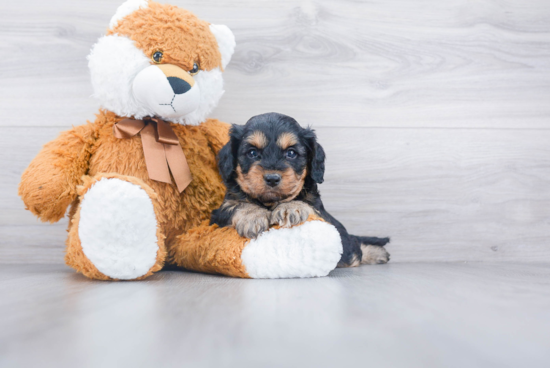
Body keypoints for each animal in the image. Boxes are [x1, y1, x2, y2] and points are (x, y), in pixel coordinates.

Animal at [211, 112, 392, 268]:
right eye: (252, 153)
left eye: (291, 153)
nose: (272, 178)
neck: (270, 202)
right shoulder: (217, 215)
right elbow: (236, 204)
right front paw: (253, 216)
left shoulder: (321, 212)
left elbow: (306, 204)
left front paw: (291, 207)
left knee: (354, 250)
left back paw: (377, 253)